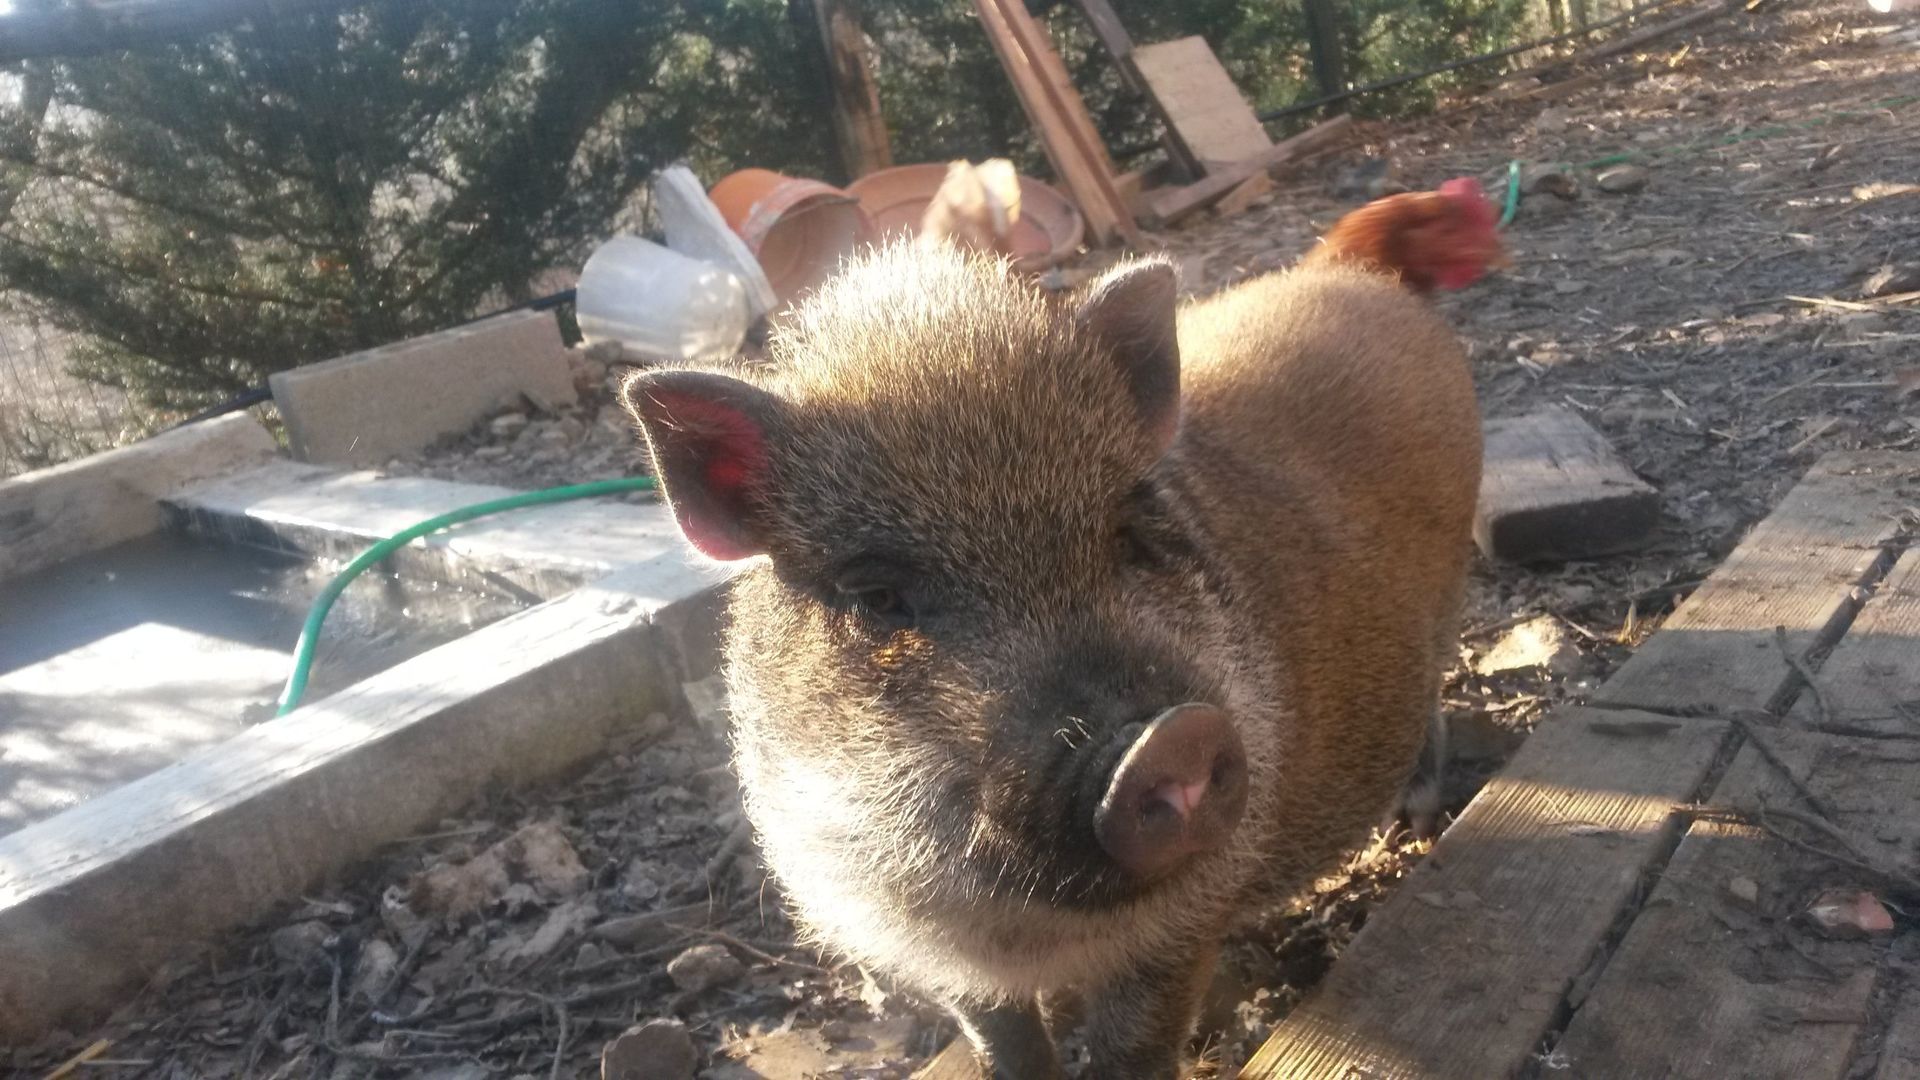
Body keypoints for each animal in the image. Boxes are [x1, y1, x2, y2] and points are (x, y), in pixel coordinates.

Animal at [620, 241, 1482, 1078]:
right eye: (876, 595)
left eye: (1128, 533)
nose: (1169, 738)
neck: (1029, 927)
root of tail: (1366, 283)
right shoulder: (931, 948)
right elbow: (1004, 1039)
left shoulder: (1187, 918)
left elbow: (1133, 1048)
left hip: (1449, 600)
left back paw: (1416, 814)